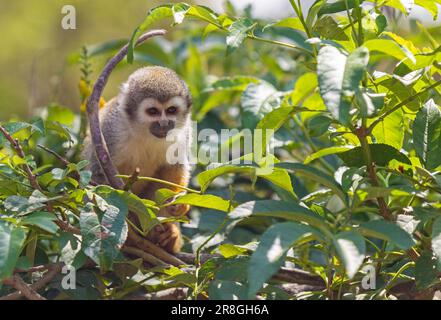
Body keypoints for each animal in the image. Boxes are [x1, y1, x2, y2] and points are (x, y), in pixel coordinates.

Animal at [81, 66, 192, 254]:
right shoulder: (110, 128)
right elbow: (98, 174)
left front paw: (179, 205)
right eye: (153, 112)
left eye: (171, 110)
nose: (164, 124)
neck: (144, 131)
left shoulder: (183, 132)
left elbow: (174, 167)